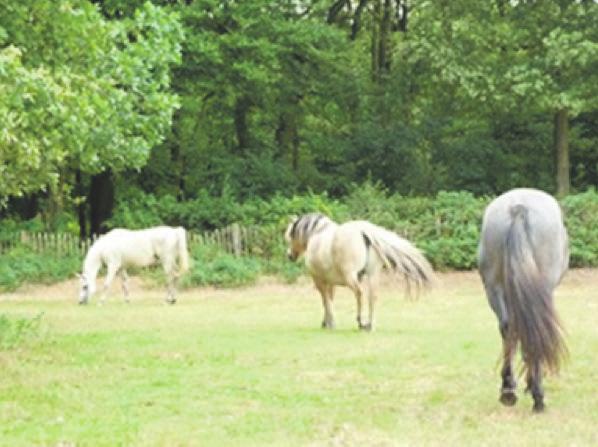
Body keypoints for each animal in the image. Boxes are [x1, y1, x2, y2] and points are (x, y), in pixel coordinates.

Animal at [286, 214, 436, 332]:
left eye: (290, 236)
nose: (290, 256)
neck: (317, 234)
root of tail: (363, 231)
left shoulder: (319, 281)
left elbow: (326, 300)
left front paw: (330, 323)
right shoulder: (330, 282)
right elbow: (329, 299)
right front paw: (327, 322)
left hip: (350, 277)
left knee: (359, 293)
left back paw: (361, 322)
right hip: (372, 275)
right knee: (372, 296)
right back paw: (370, 325)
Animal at [478, 188, 572, 412]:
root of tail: (519, 206)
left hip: (494, 288)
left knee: (507, 327)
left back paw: (507, 391)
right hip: (543, 288)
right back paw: (538, 396)